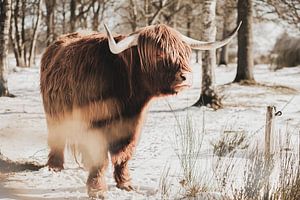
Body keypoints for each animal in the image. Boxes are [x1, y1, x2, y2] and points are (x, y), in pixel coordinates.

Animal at [40, 22, 241, 198]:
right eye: (159, 54)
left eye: (184, 53)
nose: (185, 76)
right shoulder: (95, 124)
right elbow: (99, 157)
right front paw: (97, 190)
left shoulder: (133, 125)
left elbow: (125, 154)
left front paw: (125, 183)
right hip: (54, 114)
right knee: (56, 138)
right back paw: (55, 166)